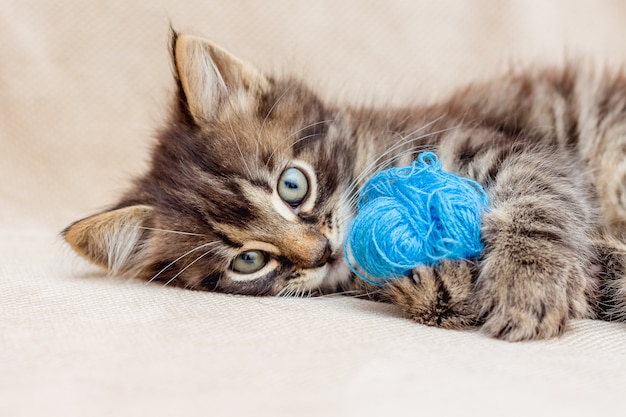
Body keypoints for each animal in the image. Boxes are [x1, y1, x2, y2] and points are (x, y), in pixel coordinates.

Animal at [64, 31, 624, 338]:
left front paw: (527, 287)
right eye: (248, 260)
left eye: (292, 185)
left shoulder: (517, 148)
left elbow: (536, 208)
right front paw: (437, 283)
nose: (321, 252)